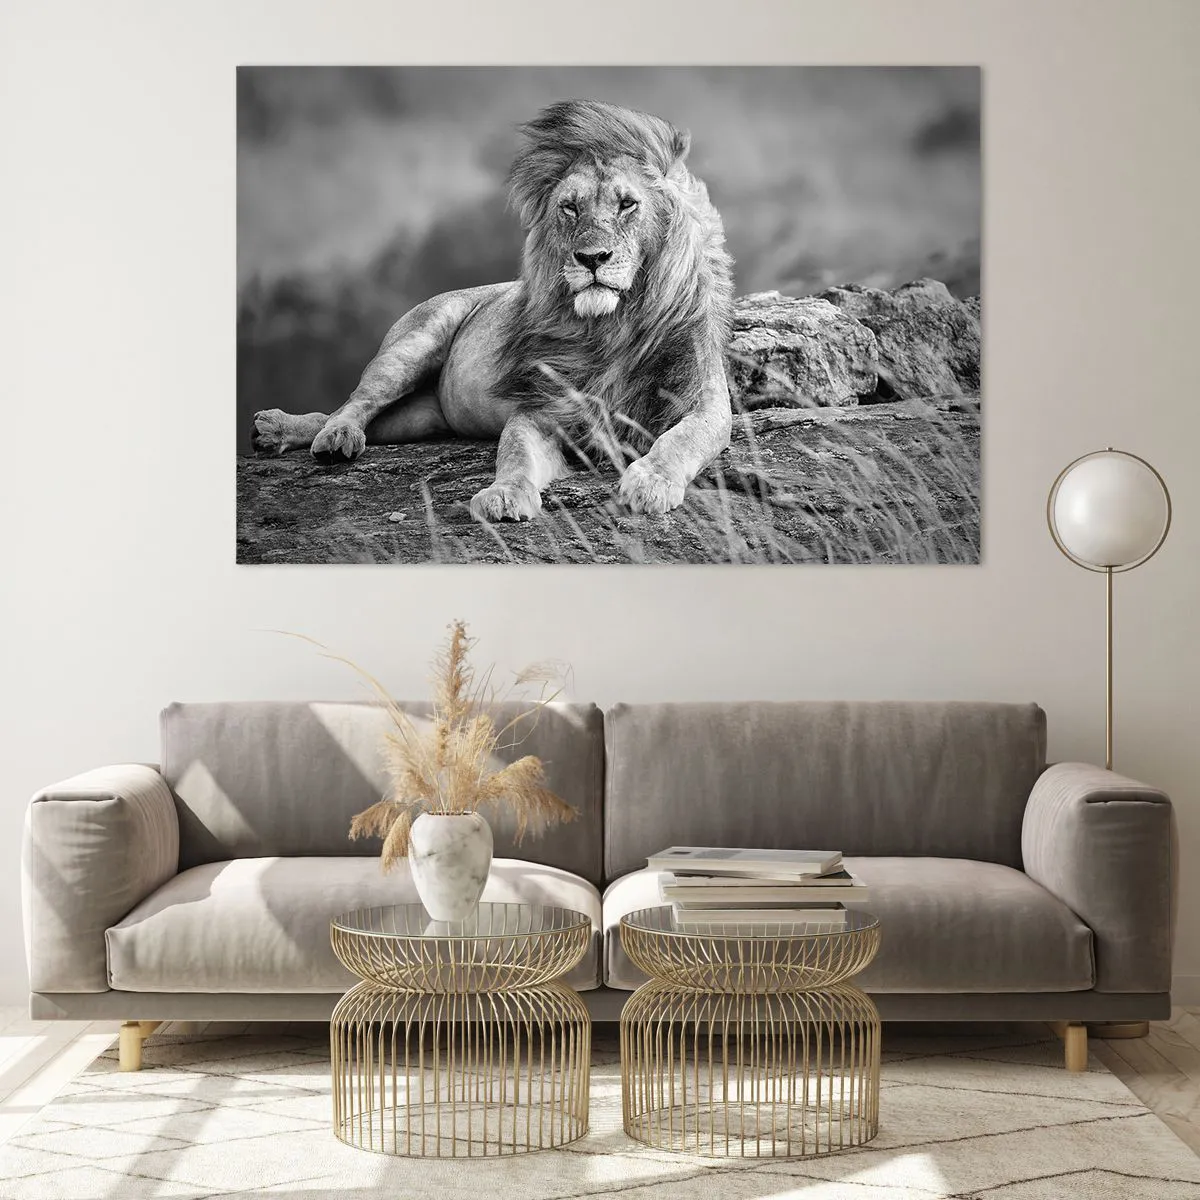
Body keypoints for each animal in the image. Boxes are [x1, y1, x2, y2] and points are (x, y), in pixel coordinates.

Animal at [252, 99, 734, 521]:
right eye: (570, 207)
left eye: (627, 203)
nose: (591, 258)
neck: (612, 326)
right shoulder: (541, 408)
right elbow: (515, 454)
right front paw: (503, 496)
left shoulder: (704, 401)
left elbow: (681, 439)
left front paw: (651, 482)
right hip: (412, 345)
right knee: (355, 403)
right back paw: (322, 435)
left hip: (421, 419)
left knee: (356, 417)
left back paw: (278, 431)